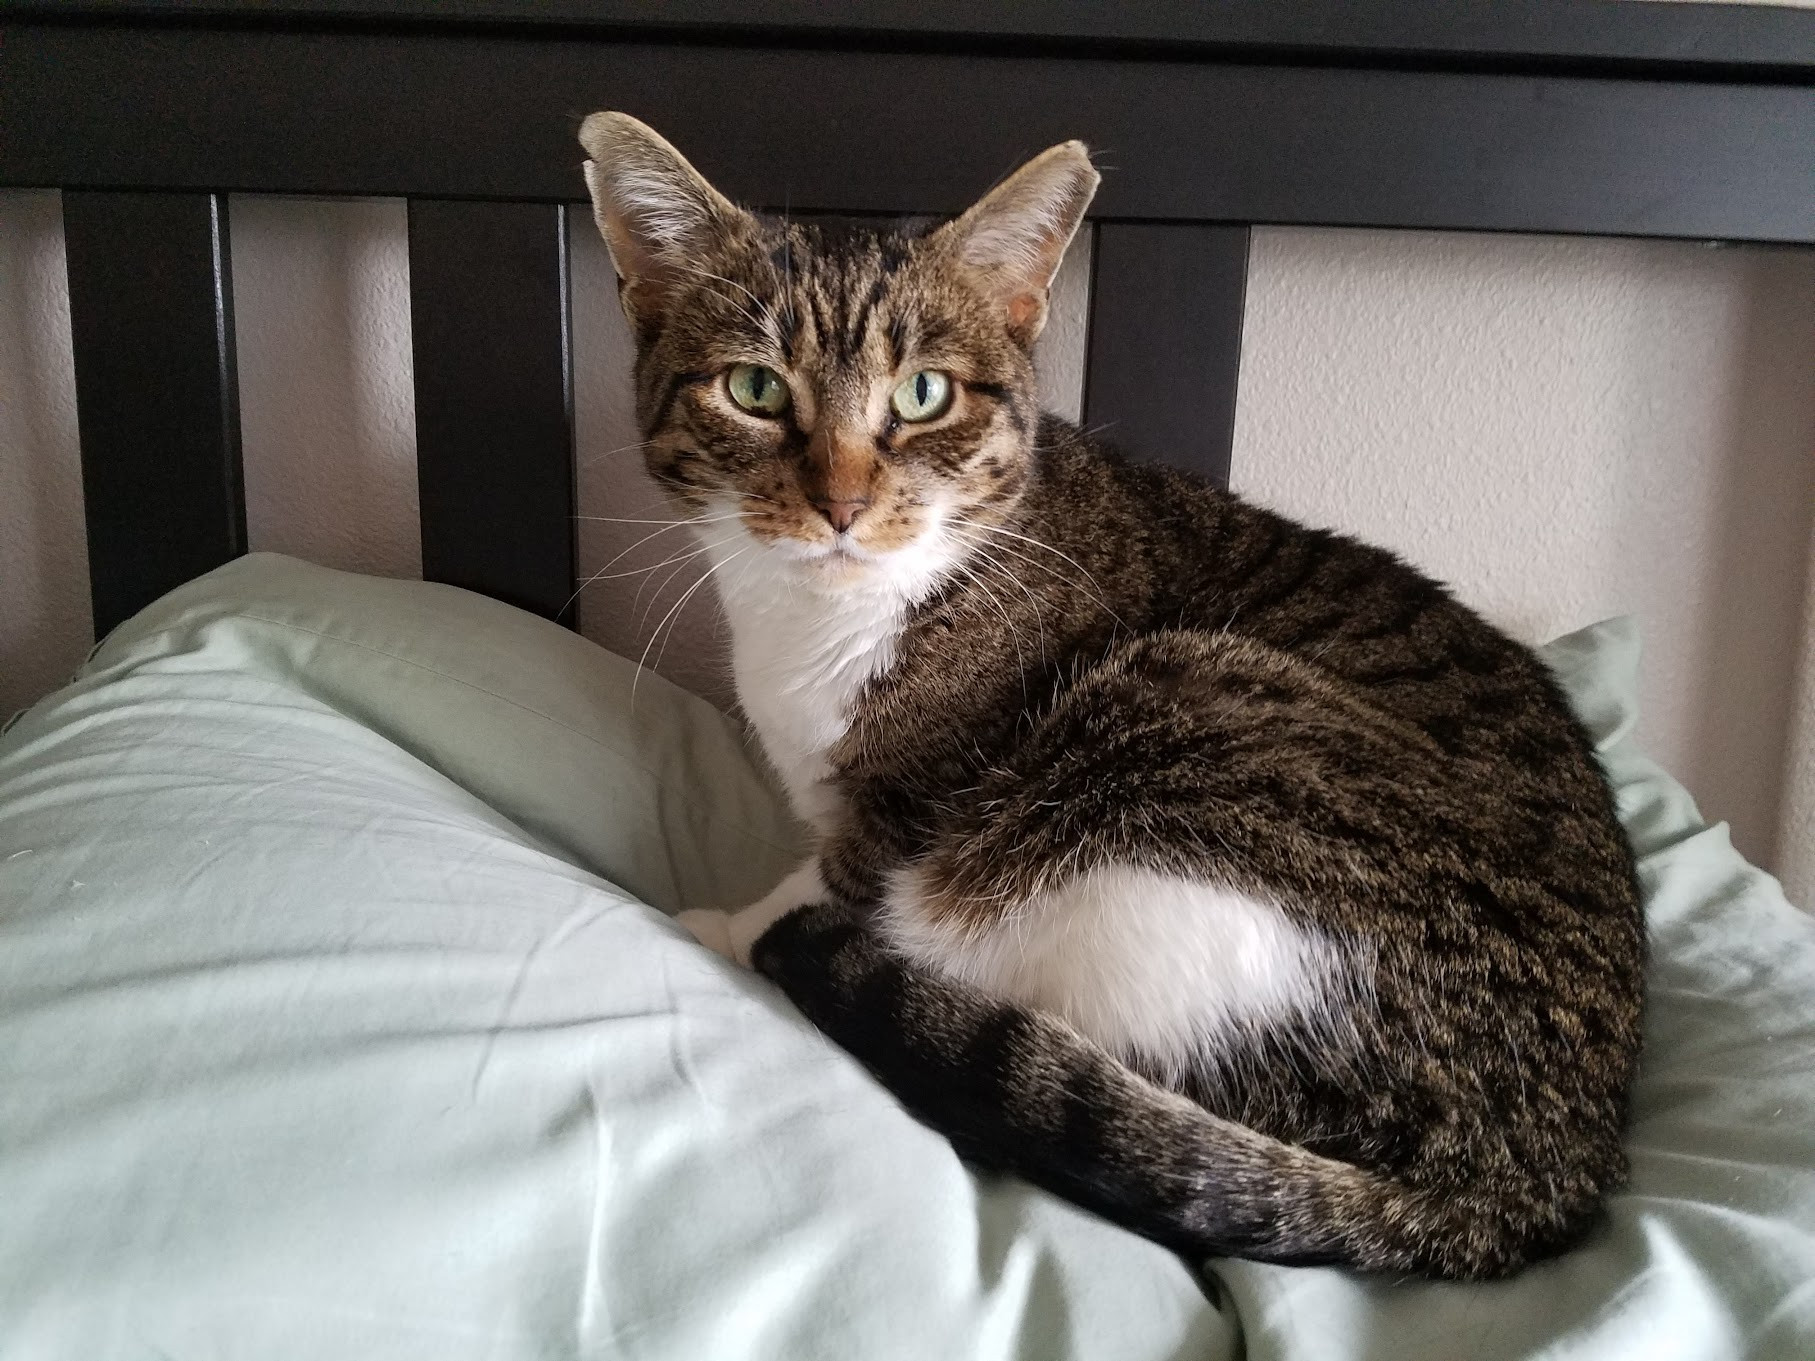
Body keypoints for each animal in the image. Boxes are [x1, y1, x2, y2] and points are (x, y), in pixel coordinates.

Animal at [577, 112, 1648, 1284]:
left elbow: (826, 882)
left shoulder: (908, 809)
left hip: (1162, 749)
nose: (843, 504)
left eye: (922, 395)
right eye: (756, 390)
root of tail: (1529, 1178)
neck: (824, 619)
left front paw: (718, 922)